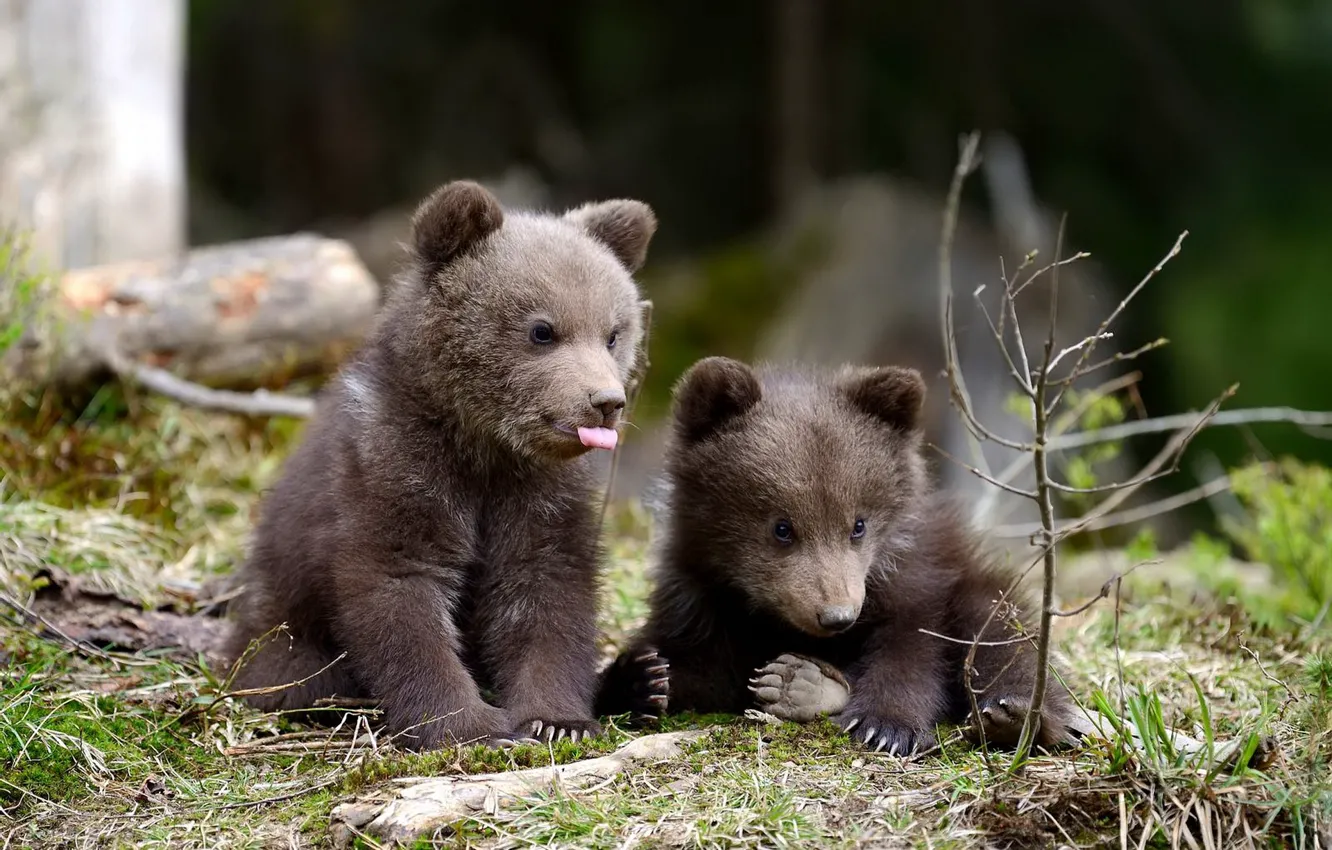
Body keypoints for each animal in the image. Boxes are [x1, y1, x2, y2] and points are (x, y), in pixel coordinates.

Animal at [224, 180, 656, 750]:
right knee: (292, 668)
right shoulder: (394, 468)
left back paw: (645, 680)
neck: (482, 443)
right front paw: (469, 725)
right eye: (542, 330)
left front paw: (557, 719)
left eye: (613, 332)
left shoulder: (539, 493)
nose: (606, 402)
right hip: (282, 617)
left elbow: (545, 593)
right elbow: (401, 592)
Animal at [595, 356, 1090, 755]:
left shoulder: (911, 576)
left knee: (999, 630)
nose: (836, 615)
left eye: (858, 524)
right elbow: (698, 666)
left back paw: (1012, 716)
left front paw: (887, 726)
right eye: (782, 527)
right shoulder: (700, 596)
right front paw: (640, 678)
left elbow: (911, 647)